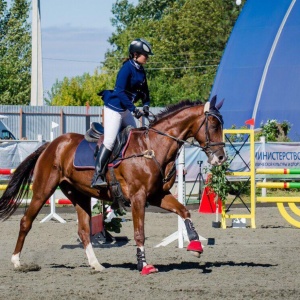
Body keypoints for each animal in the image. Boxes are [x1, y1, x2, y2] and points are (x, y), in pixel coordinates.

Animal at [0, 95, 226, 274]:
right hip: (43, 190)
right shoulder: (138, 197)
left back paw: (96, 264)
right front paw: (144, 266)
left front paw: (195, 245)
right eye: (214, 126)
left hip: (79, 194)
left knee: (84, 231)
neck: (153, 147)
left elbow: (184, 211)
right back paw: (17, 262)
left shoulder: (157, 196)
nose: (220, 158)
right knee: (26, 222)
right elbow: (139, 233)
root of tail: (51, 145)